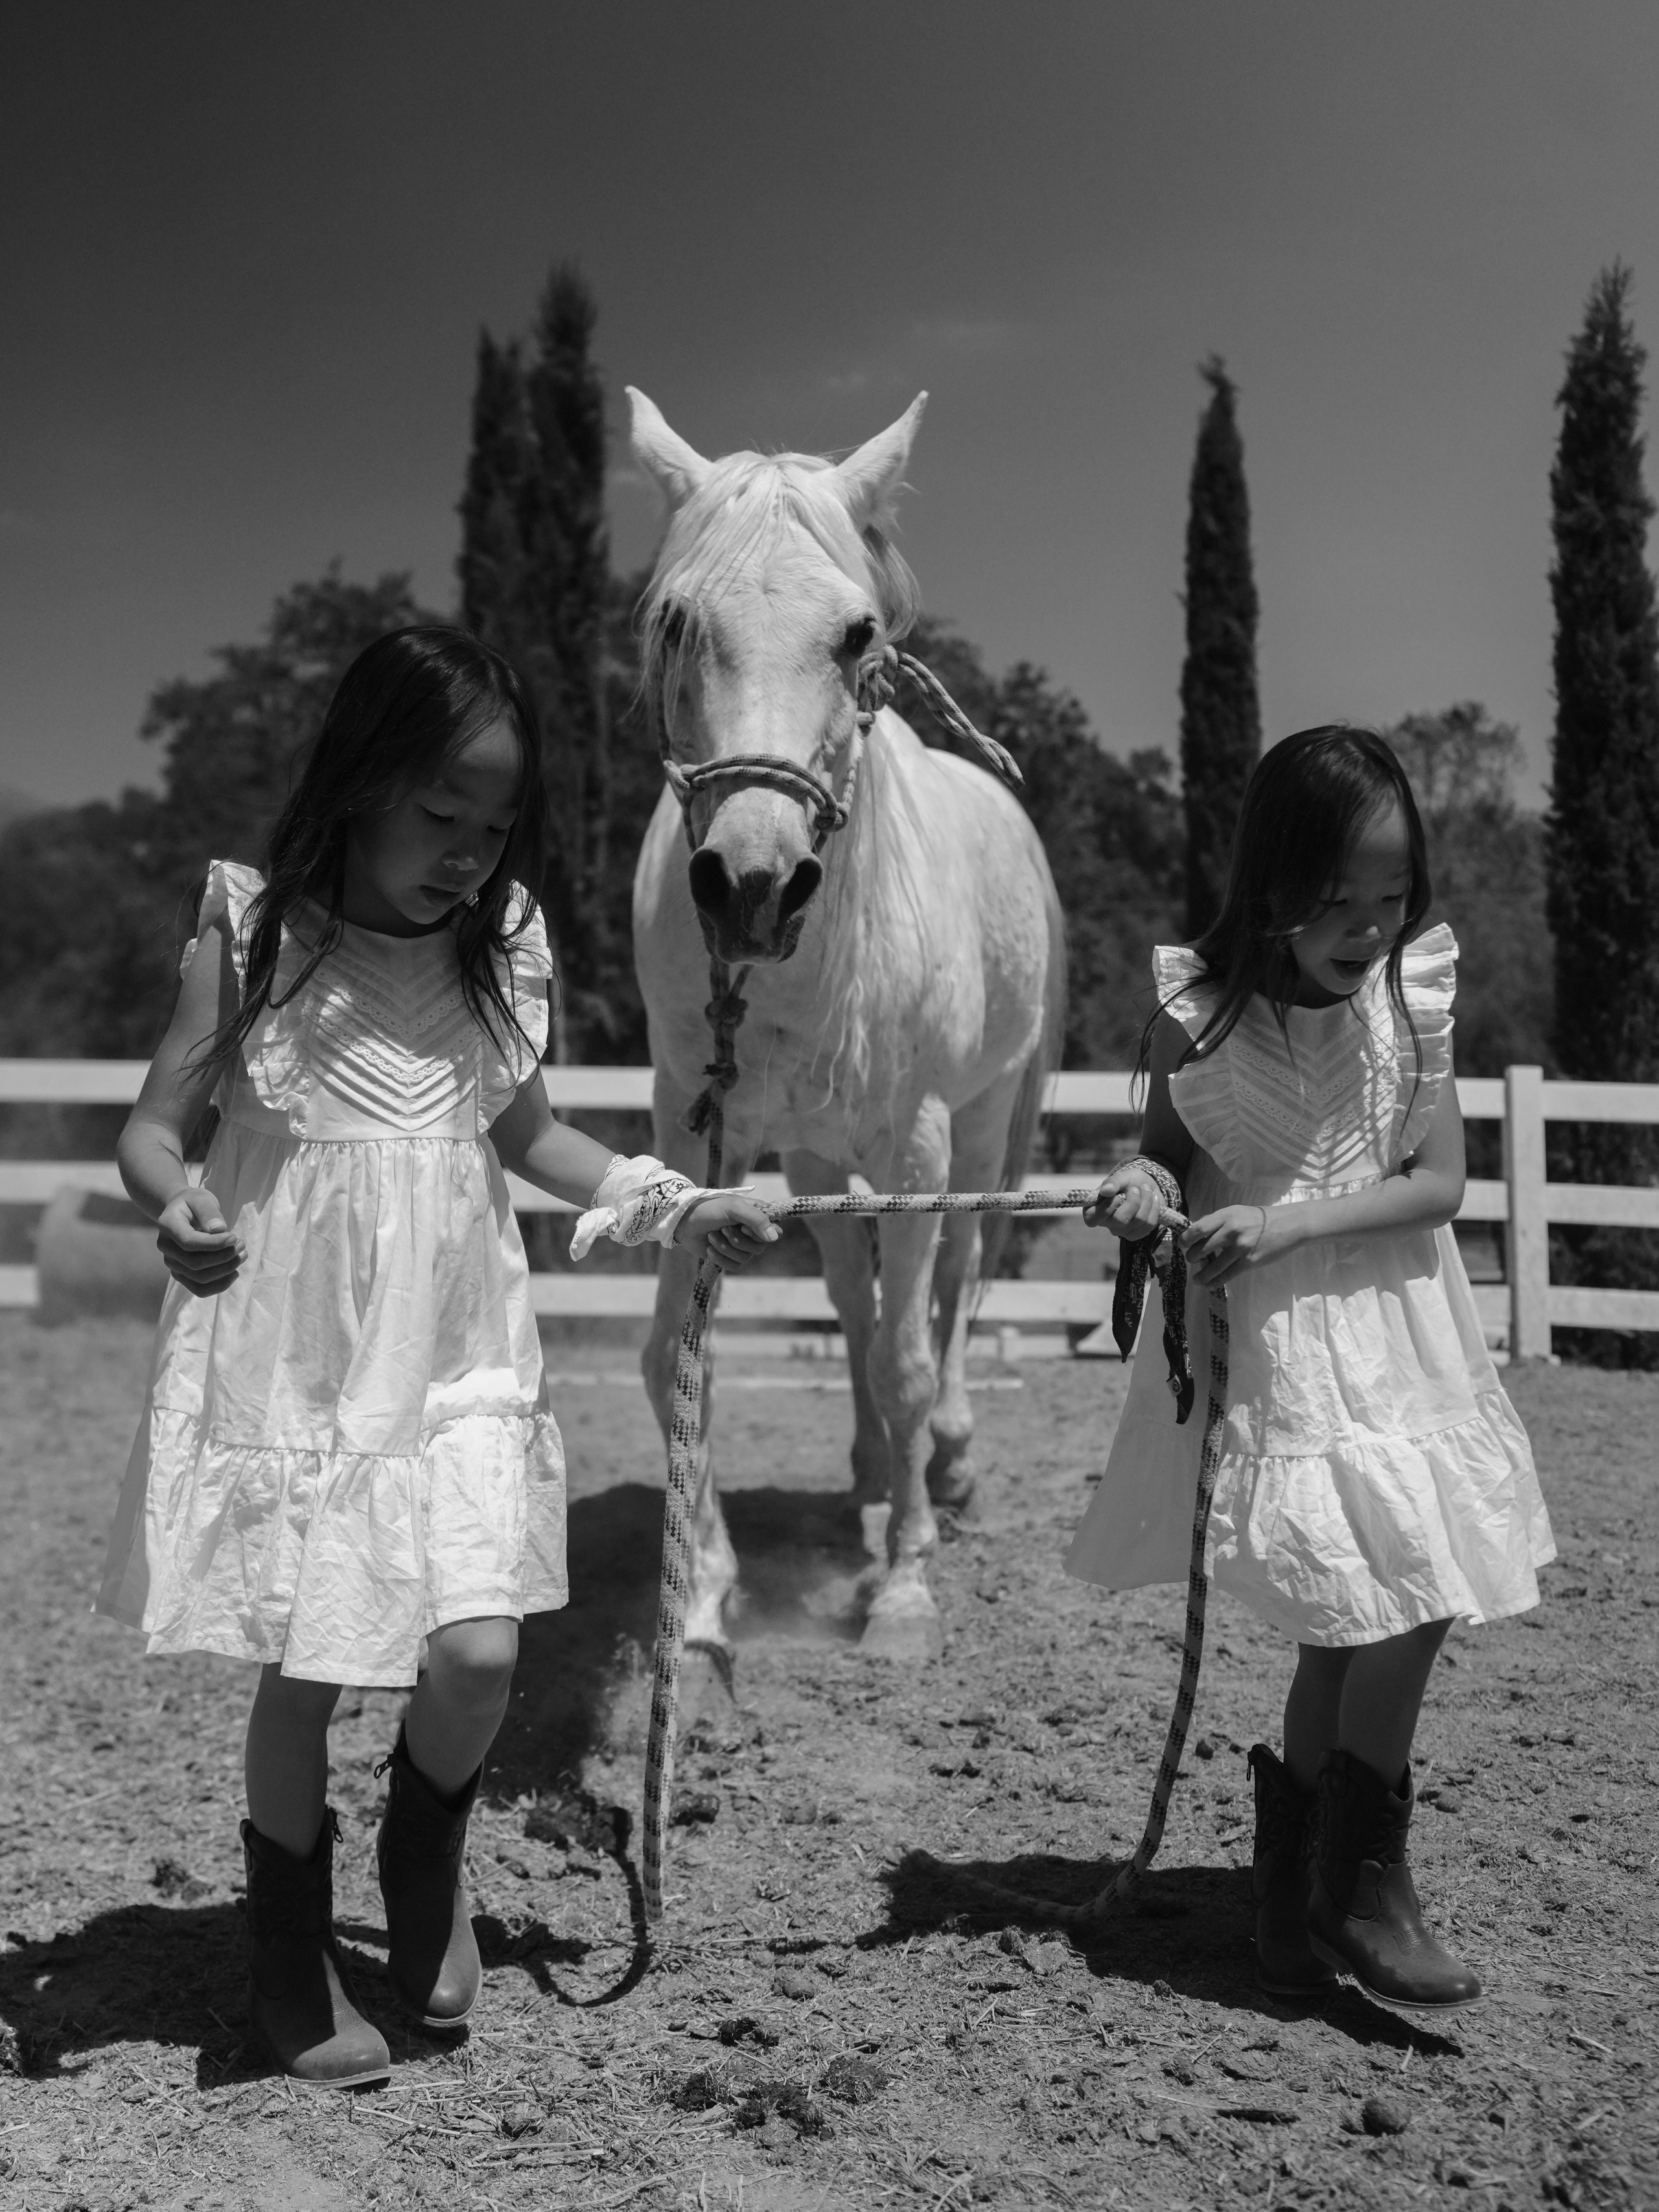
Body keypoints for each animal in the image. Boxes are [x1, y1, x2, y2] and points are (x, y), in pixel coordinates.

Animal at [627, 387, 1065, 1665]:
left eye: (857, 633)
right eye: (676, 622)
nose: (753, 884)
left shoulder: (919, 1140)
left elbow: (911, 1357)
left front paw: (903, 1588)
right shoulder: (700, 1130)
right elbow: (682, 1354)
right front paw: (705, 1587)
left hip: (982, 1127)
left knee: (952, 1285)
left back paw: (945, 1472)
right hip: (822, 1155)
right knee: (853, 1301)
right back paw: (872, 1474)